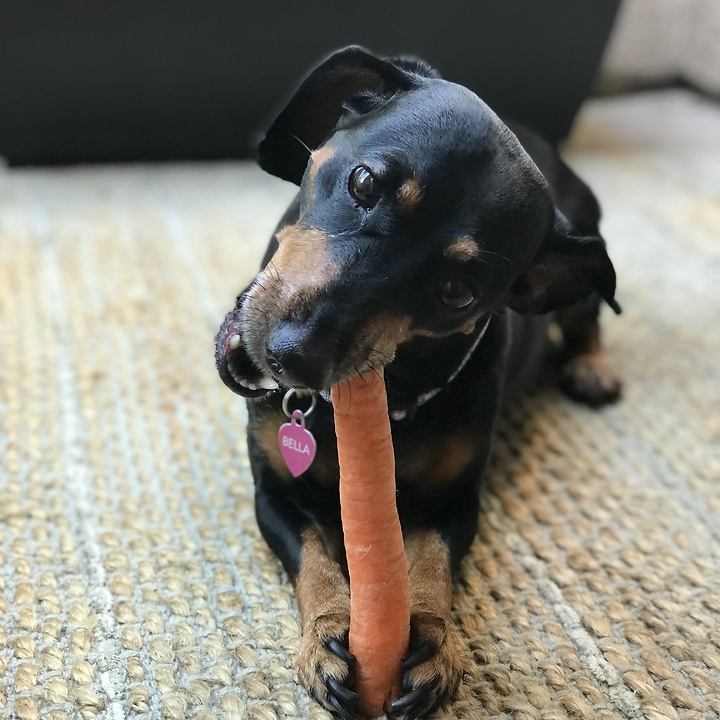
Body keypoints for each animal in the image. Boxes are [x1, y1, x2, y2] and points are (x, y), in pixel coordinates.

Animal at [214, 47, 620, 716]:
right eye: (364, 183)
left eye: (458, 292)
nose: (292, 357)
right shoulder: (273, 494)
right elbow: (316, 561)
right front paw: (327, 634)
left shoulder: (455, 505)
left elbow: (429, 564)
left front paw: (431, 642)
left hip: (586, 277)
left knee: (589, 322)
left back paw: (593, 369)